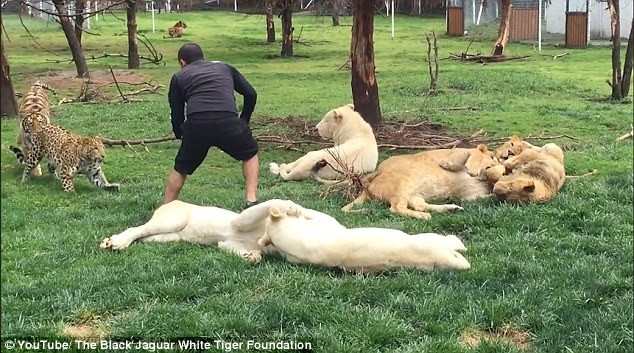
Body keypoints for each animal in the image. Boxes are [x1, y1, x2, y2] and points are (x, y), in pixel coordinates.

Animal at [100, 197, 344, 262]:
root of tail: (170, 202)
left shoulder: (226, 243)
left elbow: (235, 248)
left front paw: (251, 256)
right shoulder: (241, 221)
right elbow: (270, 204)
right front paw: (290, 207)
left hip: (168, 237)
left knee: (145, 236)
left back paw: (113, 241)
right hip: (170, 221)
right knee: (137, 228)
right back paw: (115, 242)